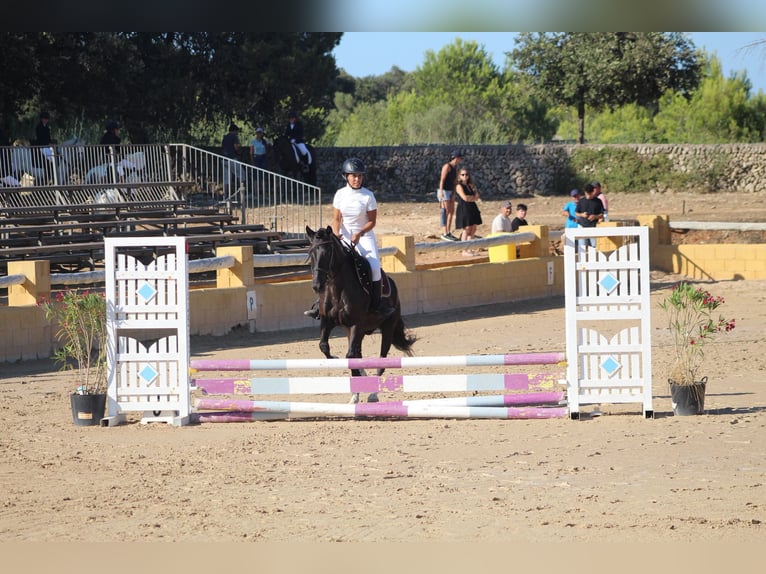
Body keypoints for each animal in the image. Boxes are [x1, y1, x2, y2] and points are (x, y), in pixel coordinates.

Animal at [306, 225, 417, 404]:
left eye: (328, 252)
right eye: (311, 253)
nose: (317, 285)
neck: (337, 288)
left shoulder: (356, 324)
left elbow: (350, 355)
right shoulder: (328, 322)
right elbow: (324, 346)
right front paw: (338, 362)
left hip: (387, 328)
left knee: (382, 358)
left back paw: (373, 394)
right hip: (356, 330)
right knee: (357, 353)